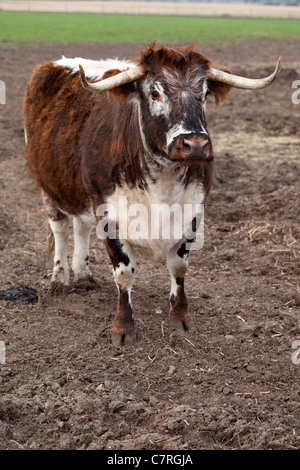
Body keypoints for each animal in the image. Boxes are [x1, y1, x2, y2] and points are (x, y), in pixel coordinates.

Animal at [23, 44, 282, 346]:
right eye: (155, 93)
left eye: (204, 93)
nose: (195, 144)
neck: (162, 184)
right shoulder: (109, 215)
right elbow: (124, 274)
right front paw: (123, 329)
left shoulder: (192, 212)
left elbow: (179, 268)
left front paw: (180, 319)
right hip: (48, 188)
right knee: (61, 229)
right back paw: (59, 278)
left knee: (80, 228)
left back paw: (83, 275)